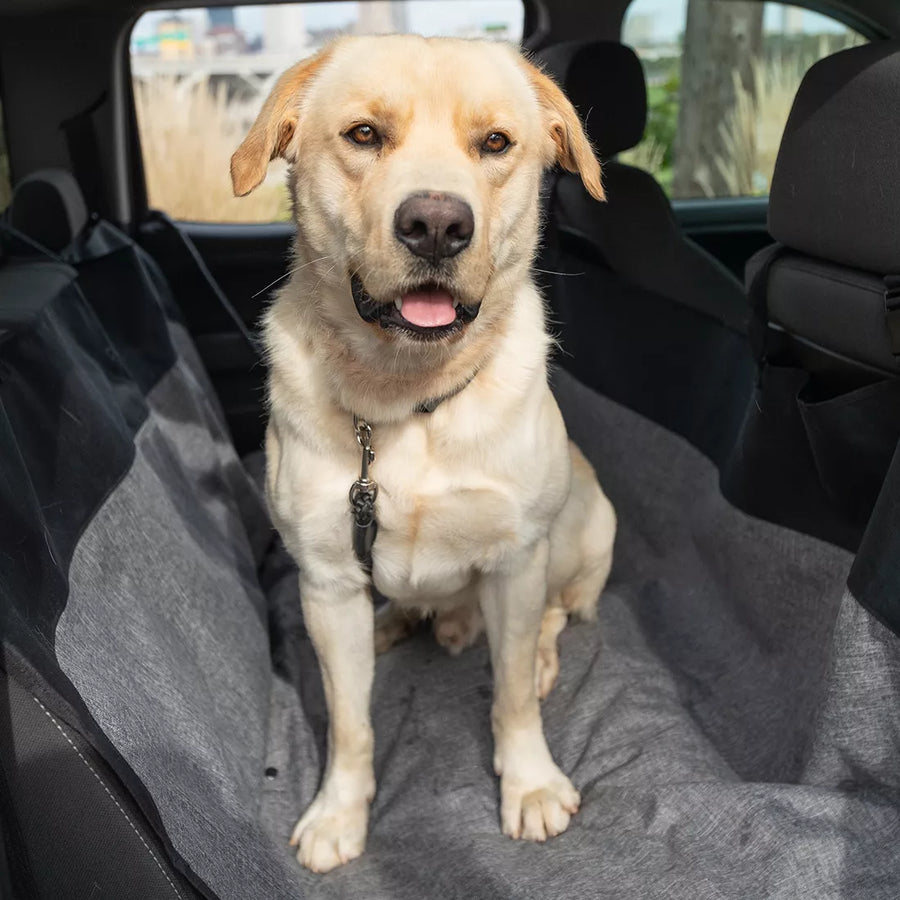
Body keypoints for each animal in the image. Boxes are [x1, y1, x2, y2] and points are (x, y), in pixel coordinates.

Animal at [230, 35, 620, 872]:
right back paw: (404, 621)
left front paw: (530, 782)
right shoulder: (325, 579)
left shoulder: (516, 560)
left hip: (586, 528)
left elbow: (510, 694)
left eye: (496, 143)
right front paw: (340, 811)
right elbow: (350, 722)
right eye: (364, 135)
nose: (437, 225)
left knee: (560, 613)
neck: (405, 400)